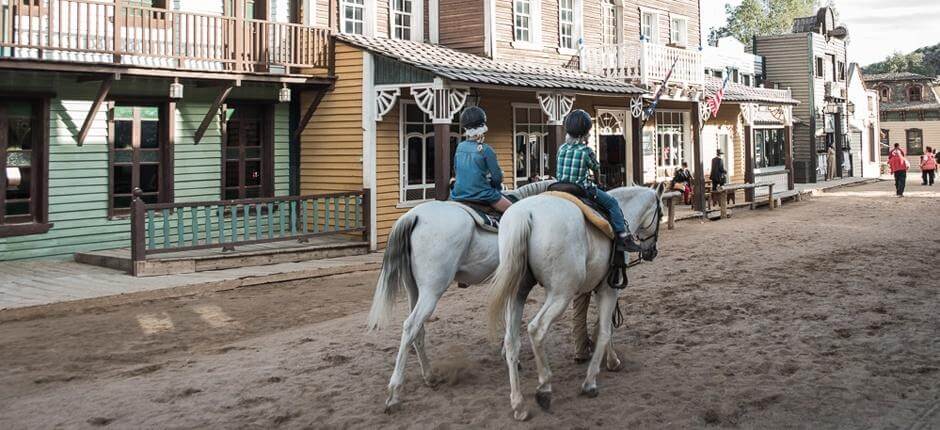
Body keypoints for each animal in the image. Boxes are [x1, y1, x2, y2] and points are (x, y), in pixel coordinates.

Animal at [368, 179, 560, 414]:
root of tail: (413, 216)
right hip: (432, 290)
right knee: (410, 326)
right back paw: (395, 393)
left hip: (414, 289)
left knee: (417, 331)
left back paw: (429, 376)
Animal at [488, 184, 664, 420]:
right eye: (660, 214)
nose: (652, 251)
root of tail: (527, 214)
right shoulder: (610, 289)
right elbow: (605, 330)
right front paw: (591, 380)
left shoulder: (597, 288)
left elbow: (600, 327)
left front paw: (611, 360)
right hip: (560, 294)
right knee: (536, 329)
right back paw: (544, 388)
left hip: (517, 293)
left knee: (511, 342)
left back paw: (518, 404)